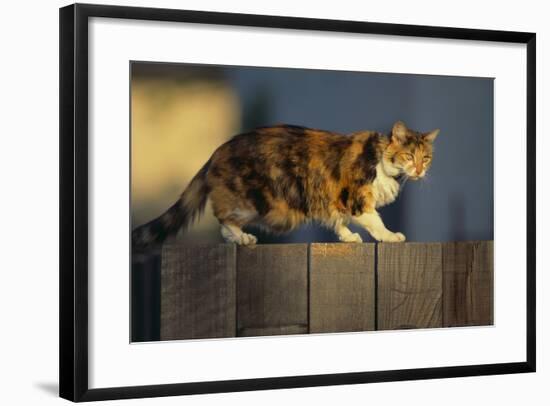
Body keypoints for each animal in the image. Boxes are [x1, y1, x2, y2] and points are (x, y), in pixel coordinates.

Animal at [133, 119, 440, 247]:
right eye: (409, 155)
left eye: (426, 158)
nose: (420, 170)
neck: (380, 160)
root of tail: (217, 150)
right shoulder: (356, 195)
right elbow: (374, 221)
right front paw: (390, 236)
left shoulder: (333, 198)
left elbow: (337, 220)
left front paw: (348, 236)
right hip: (257, 203)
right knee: (223, 218)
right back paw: (242, 237)